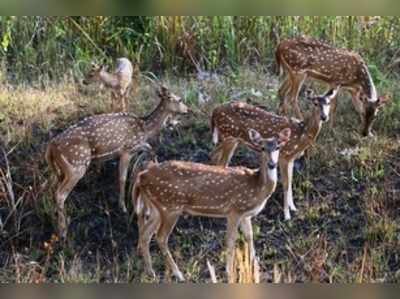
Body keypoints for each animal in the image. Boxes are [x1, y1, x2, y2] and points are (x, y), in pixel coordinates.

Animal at [45, 86, 189, 241]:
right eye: (179, 99)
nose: (188, 110)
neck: (144, 127)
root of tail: (51, 147)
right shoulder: (126, 150)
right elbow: (122, 178)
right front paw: (123, 207)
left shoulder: (135, 146)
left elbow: (149, 148)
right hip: (76, 166)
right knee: (60, 194)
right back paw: (63, 231)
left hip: (60, 170)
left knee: (52, 189)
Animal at [133, 127, 290, 282]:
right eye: (262, 148)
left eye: (278, 147)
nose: (272, 164)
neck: (256, 187)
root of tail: (142, 176)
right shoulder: (234, 210)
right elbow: (231, 239)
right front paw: (229, 272)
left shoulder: (245, 214)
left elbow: (249, 236)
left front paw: (256, 266)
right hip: (170, 206)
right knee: (160, 237)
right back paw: (178, 274)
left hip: (157, 208)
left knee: (145, 234)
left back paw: (151, 272)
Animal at [211, 86, 340, 220]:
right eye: (315, 103)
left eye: (328, 103)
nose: (324, 117)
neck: (301, 135)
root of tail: (215, 110)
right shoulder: (284, 157)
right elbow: (286, 184)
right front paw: (287, 215)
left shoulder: (291, 158)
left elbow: (290, 181)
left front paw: (293, 207)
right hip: (229, 136)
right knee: (221, 163)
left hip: (229, 139)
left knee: (214, 156)